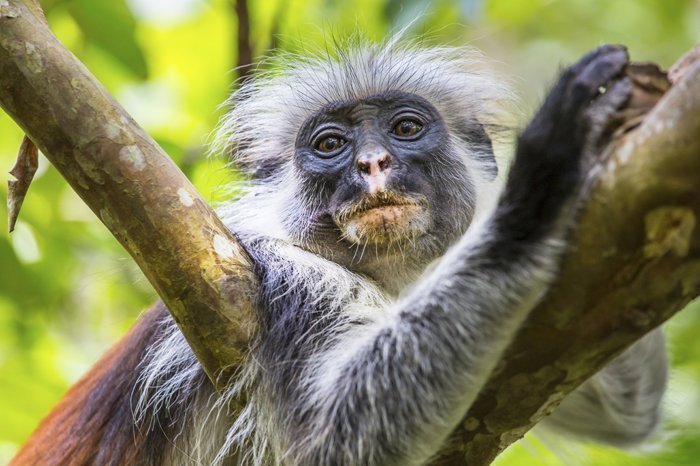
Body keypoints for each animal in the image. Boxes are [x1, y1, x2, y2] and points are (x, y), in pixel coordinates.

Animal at [12, 41, 668, 466]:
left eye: (405, 129)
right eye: (330, 144)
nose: (371, 163)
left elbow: (625, 412)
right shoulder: (282, 275)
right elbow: (330, 443)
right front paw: (543, 175)